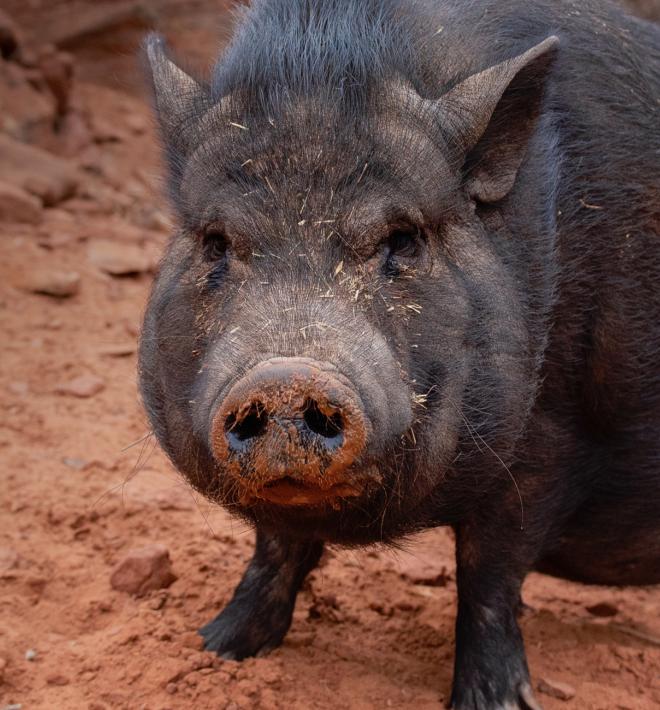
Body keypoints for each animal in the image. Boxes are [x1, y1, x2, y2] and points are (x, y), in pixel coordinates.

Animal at [137, 0, 656, 708]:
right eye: (216, 242)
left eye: (403, 239)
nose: (286, 377)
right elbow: (275, 548)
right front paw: (213, 648)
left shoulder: (550, 440)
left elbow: (490, 572)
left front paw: (496, 700)